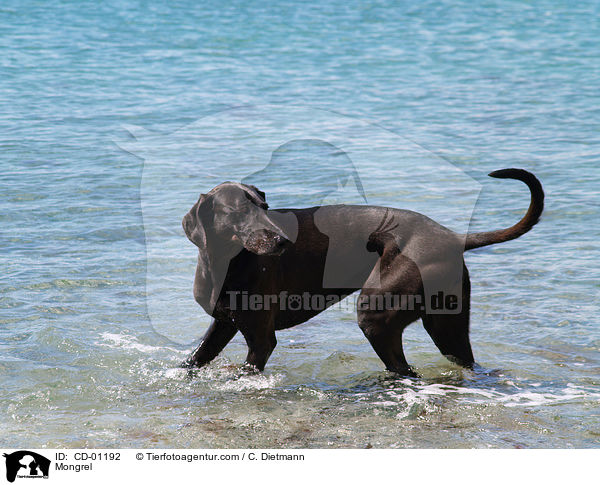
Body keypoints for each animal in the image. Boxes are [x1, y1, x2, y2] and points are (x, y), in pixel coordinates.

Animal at [182, 168, 544, 376]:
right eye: (239, 210)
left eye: (265, 208)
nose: (283, 240)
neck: (224, 264)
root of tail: (453, 237)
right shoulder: (224, 324)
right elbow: (194, 360)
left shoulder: (261, 339)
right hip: (446, 324)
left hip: (377, 313)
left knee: (404, 369)